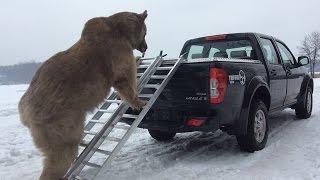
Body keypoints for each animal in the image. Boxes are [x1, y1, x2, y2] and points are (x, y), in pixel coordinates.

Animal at [19, 10, 149, 180]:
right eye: (146, 32)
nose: (146, 47)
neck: (121, 31)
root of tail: (24, 110)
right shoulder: (120, 60)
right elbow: (127, 82)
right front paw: (139, 102)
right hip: (60, 130)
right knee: (59, 160)